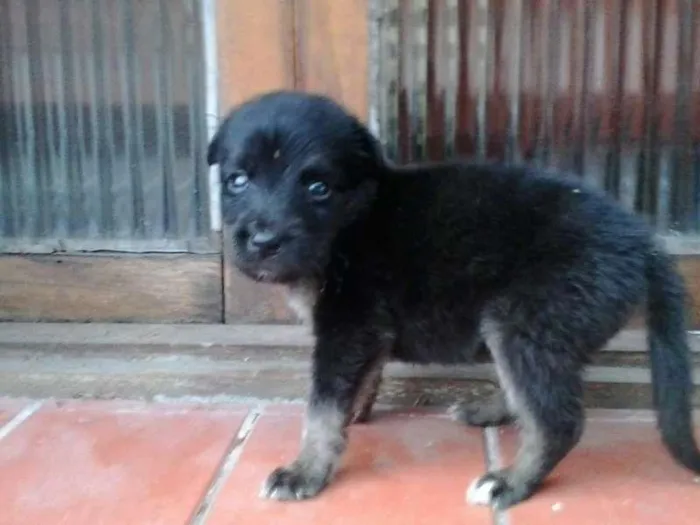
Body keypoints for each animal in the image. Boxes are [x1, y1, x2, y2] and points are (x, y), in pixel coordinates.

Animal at [206, 89, 700, 508]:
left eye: (318, 188)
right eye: (237, 181)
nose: (263, 241)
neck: (352, 223)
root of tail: (644, 244)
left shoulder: (348, 328)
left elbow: (322, 407)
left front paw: (305, 469)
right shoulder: (366, 333)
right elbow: (357, 384)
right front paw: (353, 418)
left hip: (525, 323)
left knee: (557, 421)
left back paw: (510, 482)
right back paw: (492, 411)